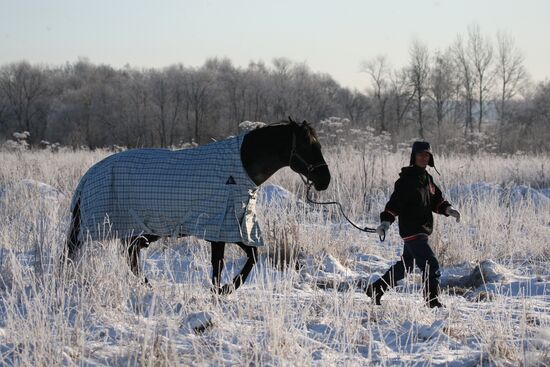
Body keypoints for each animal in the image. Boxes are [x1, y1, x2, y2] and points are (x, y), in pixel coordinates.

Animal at [64, 119, 332, 294]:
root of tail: (88, 177)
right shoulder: (221, 227)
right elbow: (221, 263)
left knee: (131, 256)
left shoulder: (234, 228)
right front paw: (223, 289)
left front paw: (224, 288)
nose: (325, 179)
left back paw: (148, 285)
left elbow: (251, 256)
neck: (237, 170)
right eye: (307, 145)